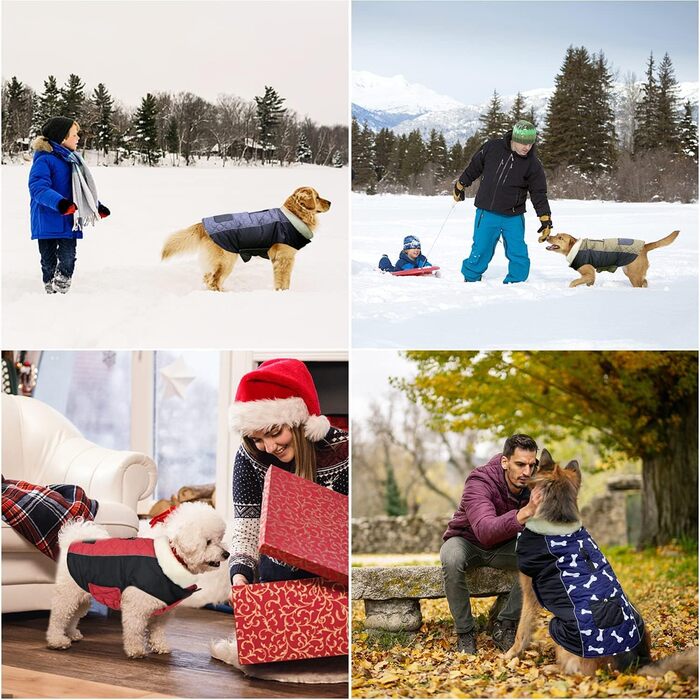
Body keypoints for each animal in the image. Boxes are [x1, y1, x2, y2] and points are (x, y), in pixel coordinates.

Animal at [161, 186, 330, 290]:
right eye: (317, 197)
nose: (330, 202)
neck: (294, 216)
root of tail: (203, 225)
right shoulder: (284, 259)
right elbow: (283, 281)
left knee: (208, 277)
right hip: (226, 260)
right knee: (213, 281)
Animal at [506, 452, 696, 676]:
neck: (558, 520)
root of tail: (633, 665)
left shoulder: (529, 593)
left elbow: (522, 630)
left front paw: (510, 656)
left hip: (559, 630)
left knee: (576, 673)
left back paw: (550, 668)